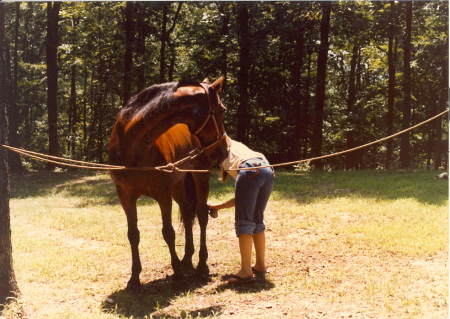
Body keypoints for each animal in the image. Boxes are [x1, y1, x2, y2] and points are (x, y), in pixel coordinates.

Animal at [108, 77, 229, 290]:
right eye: (221, 109)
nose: (223, 150)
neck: (133, 146)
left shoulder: (162, 195)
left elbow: (168, 232)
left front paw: (178, 274)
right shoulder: (125, 196)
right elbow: (133, 234)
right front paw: (135, 278)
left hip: (199, 176)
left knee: (201, 215)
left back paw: (201, 265)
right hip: (178, 184)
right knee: (188, 214)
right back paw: (187, 260)